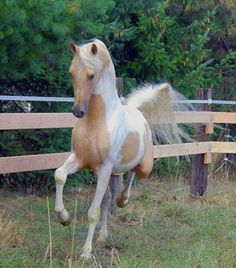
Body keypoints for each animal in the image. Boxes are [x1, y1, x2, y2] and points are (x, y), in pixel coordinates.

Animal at [54, 38, 188, 258]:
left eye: (91, 75)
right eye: (71, 72)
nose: (78, 111)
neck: (97, 121)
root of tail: (137, 111)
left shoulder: (105, 167)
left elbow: (93, 212)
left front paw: (86, 253)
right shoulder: (80, 159)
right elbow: (59, 175)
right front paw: (63, 218)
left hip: (141, 167)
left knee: (132, 175)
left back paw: (123, 200)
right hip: (111, 173)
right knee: (108, 198)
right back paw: (103, 235)